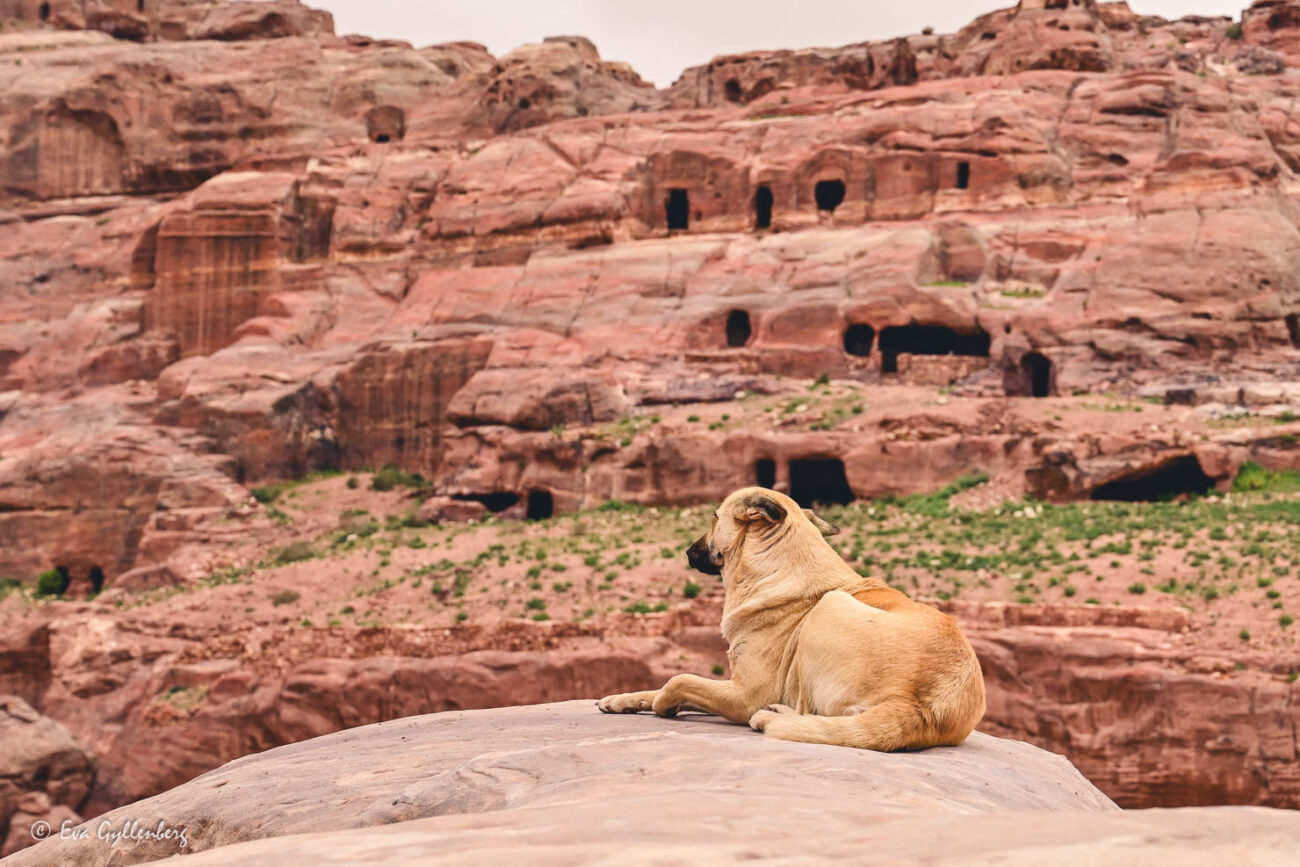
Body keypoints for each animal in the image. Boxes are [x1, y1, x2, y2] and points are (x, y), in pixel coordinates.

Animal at [598, 488, 982, 753]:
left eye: (714, 516)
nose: (687, 552)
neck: (776, 565)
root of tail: (925, 706)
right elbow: (660, 685)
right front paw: (622, 699)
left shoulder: (746, 693)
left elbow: (678, 681)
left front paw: (663, 706)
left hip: (827, 610)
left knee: (814, 714)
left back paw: (775, 715)